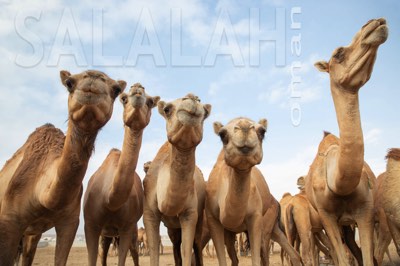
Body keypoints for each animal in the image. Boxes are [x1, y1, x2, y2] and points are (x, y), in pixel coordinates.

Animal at [0, 69, 126, 264]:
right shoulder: (8, 220)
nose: (93, 77)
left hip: (32, 232)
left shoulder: (69, 224)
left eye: (116, 89)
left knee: (28, 253)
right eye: (69, 83)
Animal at [83, 83, 159, 266]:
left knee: (134, 252)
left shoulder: (126, 227)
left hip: (129, 231)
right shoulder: (90, 224)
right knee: (103, 253)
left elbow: (123, 258)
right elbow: (92, 258)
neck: (110, 200)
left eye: (151, 102)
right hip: (107, 233)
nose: (137, 88)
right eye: (124, 99)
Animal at [142, 93, 211, 266]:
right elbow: (154, 253)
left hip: (199, 217)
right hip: (172, 227)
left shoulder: (190, 214)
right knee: (175, 245)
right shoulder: (149, 213)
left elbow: (187, 251)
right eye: (167, 109)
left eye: (206, 113)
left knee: (196, 244)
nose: (192, 98)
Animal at [304, 17, 388, 264]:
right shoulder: (326, 217)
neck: (339, 183)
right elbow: (341, 257)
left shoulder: (366, 211)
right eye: (338, 53)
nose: (375, 23)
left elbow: (368, 258)